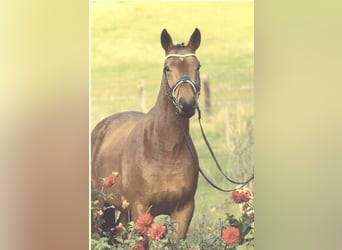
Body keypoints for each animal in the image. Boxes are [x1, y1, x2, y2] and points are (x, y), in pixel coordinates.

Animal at [92, 28, 202, 241]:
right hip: (98, 205)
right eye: (167, 68)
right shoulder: (141, 209)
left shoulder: (184, 211)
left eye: (198, 66)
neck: (165, 150)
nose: (187, 104)